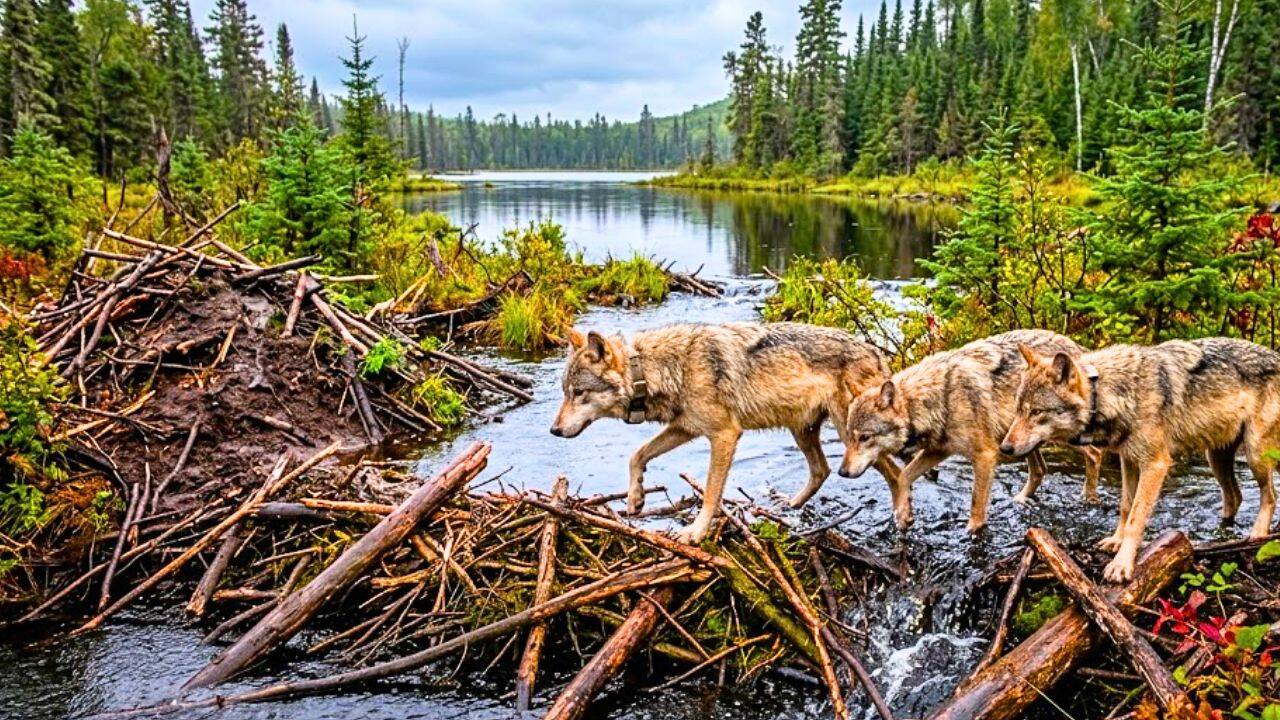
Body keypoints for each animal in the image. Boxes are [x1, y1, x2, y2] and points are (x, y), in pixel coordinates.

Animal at [549, 322, 902, 542]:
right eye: (565, 392)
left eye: (579, 393)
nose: (553, 430)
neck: (657, 370)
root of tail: (877, 353)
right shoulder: (684, 428)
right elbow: (637, 455)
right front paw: (636, 498)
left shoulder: (724, 435)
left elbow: (709, 493)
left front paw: (695, 533)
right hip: (803, 430)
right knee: (821, 469)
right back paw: (788, 505)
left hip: (852, 438)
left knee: (895, 473)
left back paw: (902, 518)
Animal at [839, 329, 1104, 533]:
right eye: (849, 438)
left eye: (865, 438)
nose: (842, 472)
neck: (939, 398)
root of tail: (1076, 348)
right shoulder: (937, 451)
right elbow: (903, 476)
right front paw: (903, 515)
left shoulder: (985, 455)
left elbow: (976, 502)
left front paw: (972, 532)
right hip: (1020, 440)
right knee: (1040, 470)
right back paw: (1019, 500)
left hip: (1057, 434)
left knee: (1095, 454)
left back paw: (1089, 499)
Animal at [1001, 338, 1280, 582]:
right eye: (1018, 410)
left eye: (1036, 412)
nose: (1005, 447)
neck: (1110, 393)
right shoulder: (1129, 460)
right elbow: (1126, 505)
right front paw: (1115, 541)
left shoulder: (1155, 465)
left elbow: (1136, 516)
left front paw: (1122, 565)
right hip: (1215, 458)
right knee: (1235, 497)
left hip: (1254, 453)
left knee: (1270, 496)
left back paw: (1257, 536)